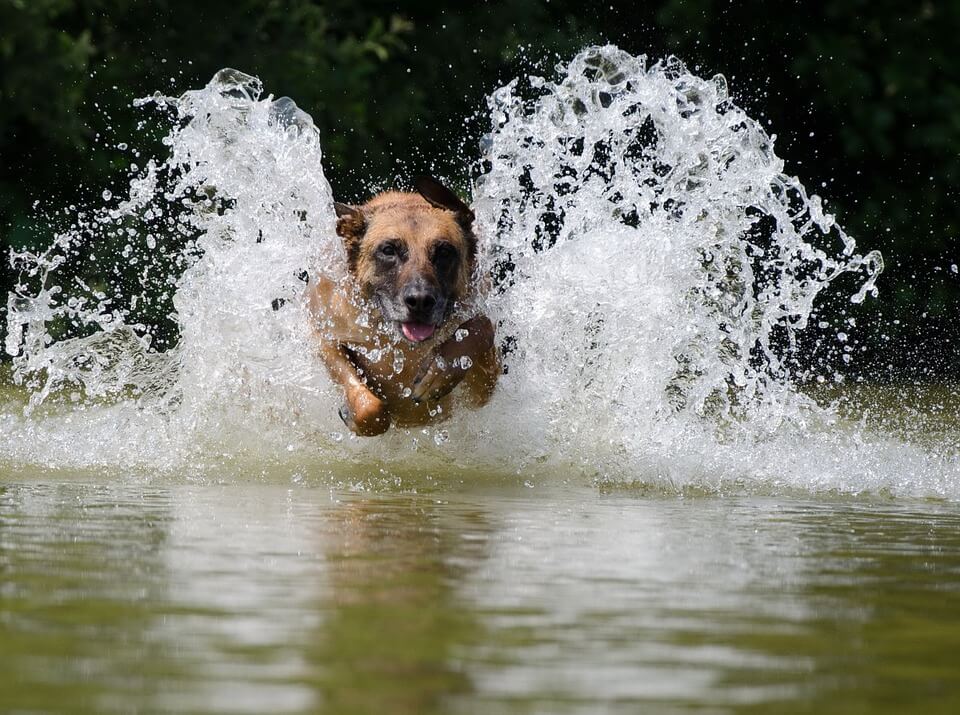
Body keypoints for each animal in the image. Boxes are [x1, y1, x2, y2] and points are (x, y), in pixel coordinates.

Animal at [308, 178, 502, 436]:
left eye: (444, 251)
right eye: (388, 250)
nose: (420, 301)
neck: (403, 346)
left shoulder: (482, 392)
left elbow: (482, 326)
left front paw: (439, 371)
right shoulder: (325, 335)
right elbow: (369, 408)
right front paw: (353, 414)